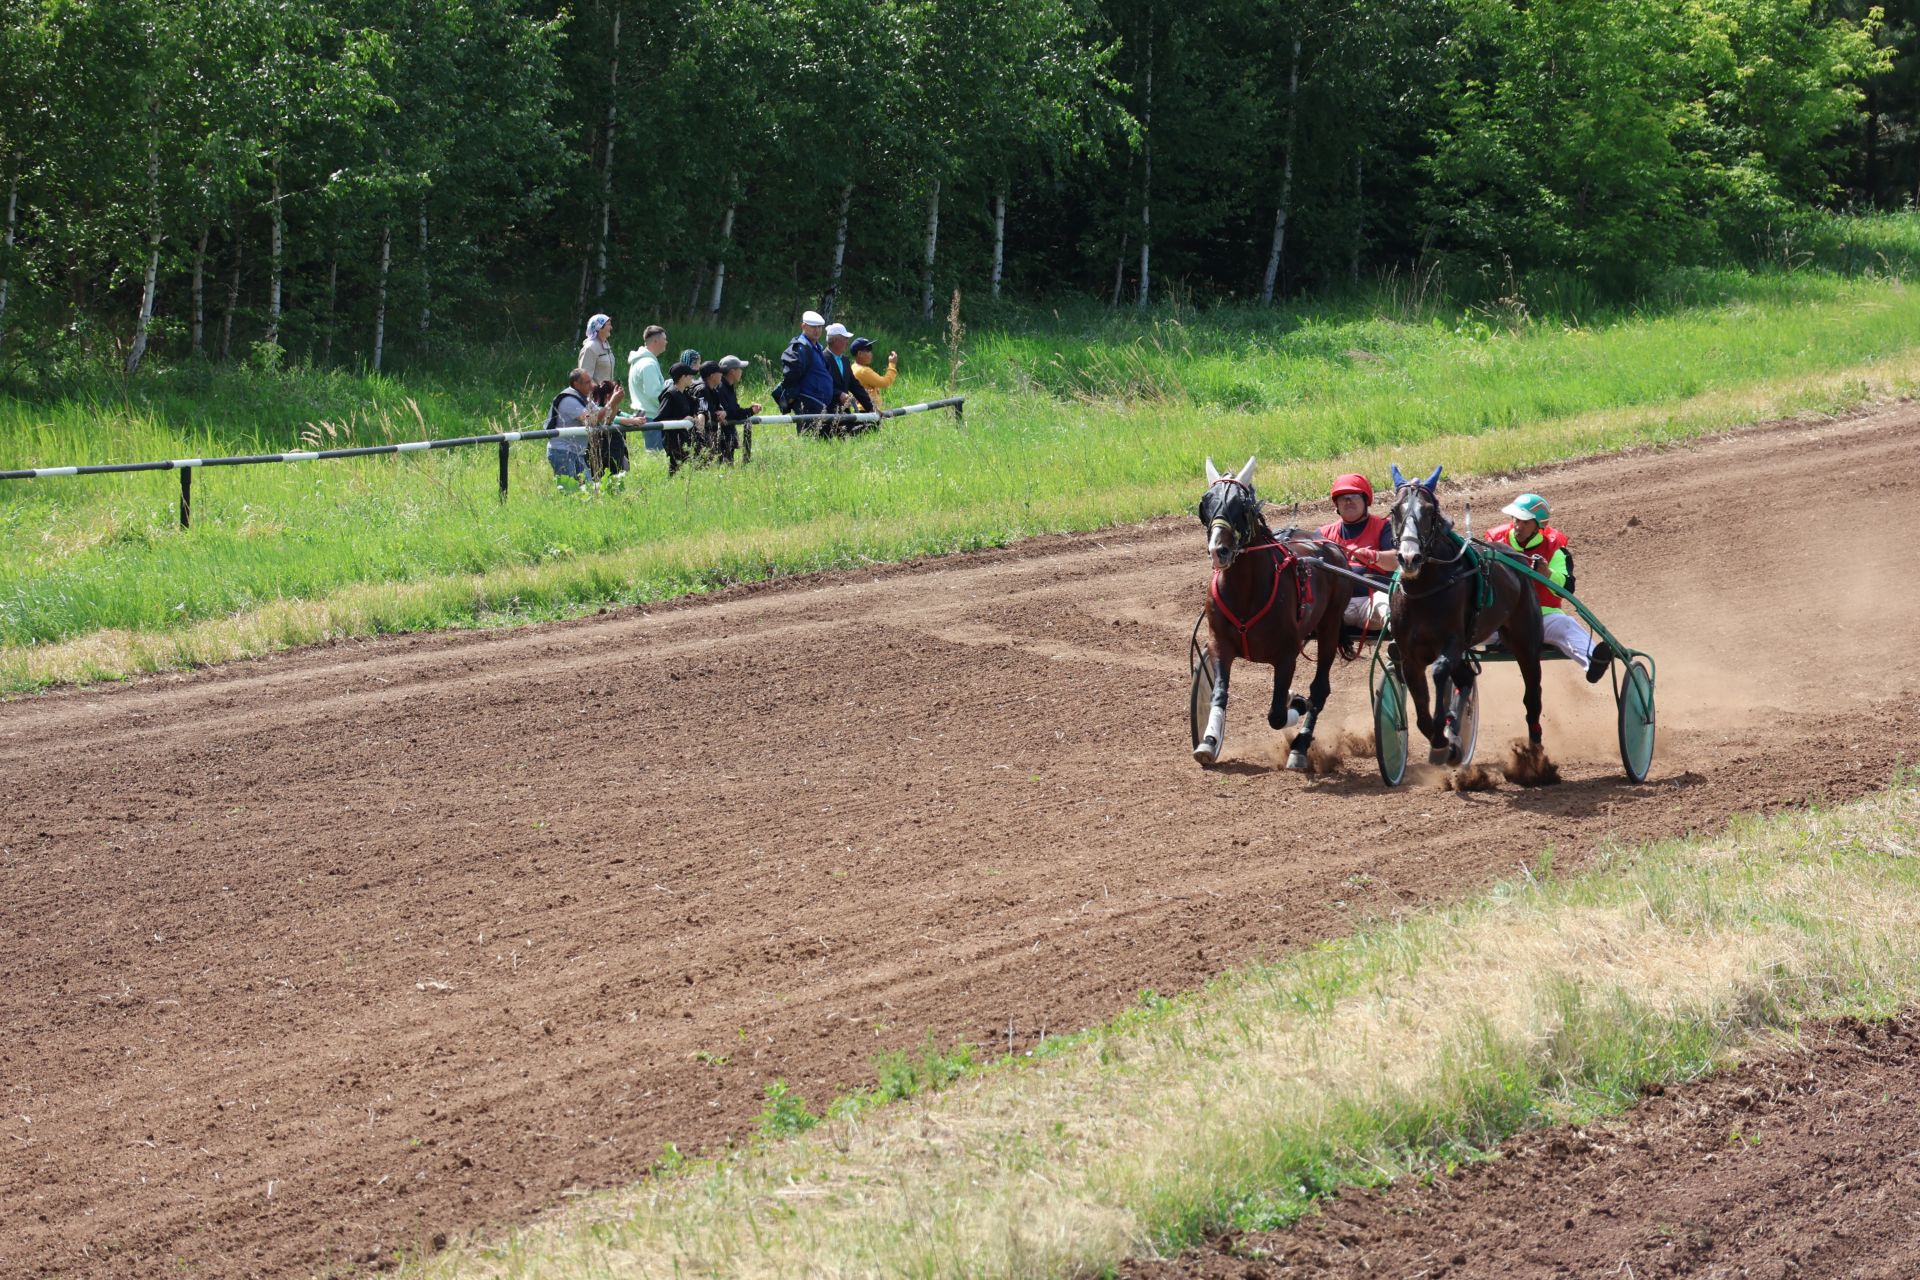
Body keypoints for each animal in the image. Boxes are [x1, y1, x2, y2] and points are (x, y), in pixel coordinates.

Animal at [1190, 458, 1359, 771]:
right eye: (1206, 503)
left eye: (1241, 505)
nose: (1219, 550)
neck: (1245, 591)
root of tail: (1328, 546)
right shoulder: (1220, 644)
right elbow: (1219, 693)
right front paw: (1209, 741)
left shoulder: (1286, 655)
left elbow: (1277, 714)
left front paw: (1297, 703)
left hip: (1330, 627)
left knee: (1320, 689)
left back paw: (1300, 746)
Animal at [1390, 468, 1551, 759]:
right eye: (1395, 509)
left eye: (1429, 511)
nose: (1409, 558)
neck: (1425, 590)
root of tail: (1518, 559)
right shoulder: (1409, 656)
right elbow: (1421, 711)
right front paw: (1441, 738)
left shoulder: (1453, 641)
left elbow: (1439, 670)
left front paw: (1444, 733)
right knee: (1465, 677)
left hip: (1527, 639)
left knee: (1532, 692)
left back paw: (1534, 746)